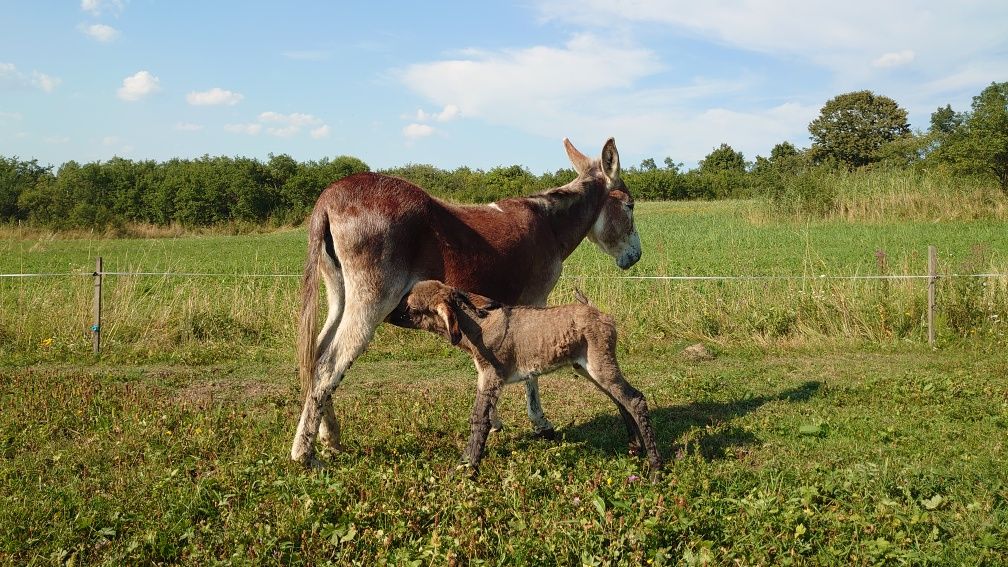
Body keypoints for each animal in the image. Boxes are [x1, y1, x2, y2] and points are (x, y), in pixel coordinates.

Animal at [391, 278, 661, 472]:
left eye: (411, 307)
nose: (390, 314)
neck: (480, 325)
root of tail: (595, 311)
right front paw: (468, 462)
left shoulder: (490, 376)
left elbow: (479, 419)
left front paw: (467, 466)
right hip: (586, 368)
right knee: (621, 400)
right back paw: (635, 448)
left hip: (600, 365)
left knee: (635, 400)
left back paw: (656, 468)